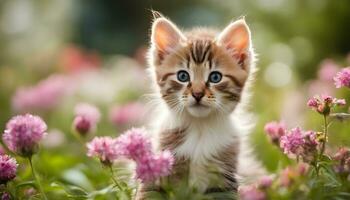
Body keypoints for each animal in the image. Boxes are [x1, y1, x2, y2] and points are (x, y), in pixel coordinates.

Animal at [137, 13, 262, 199]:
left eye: (215, 77)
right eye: (182, 76)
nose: (197, 94)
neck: (199, 128)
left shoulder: (224, 180)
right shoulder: (157, 169)